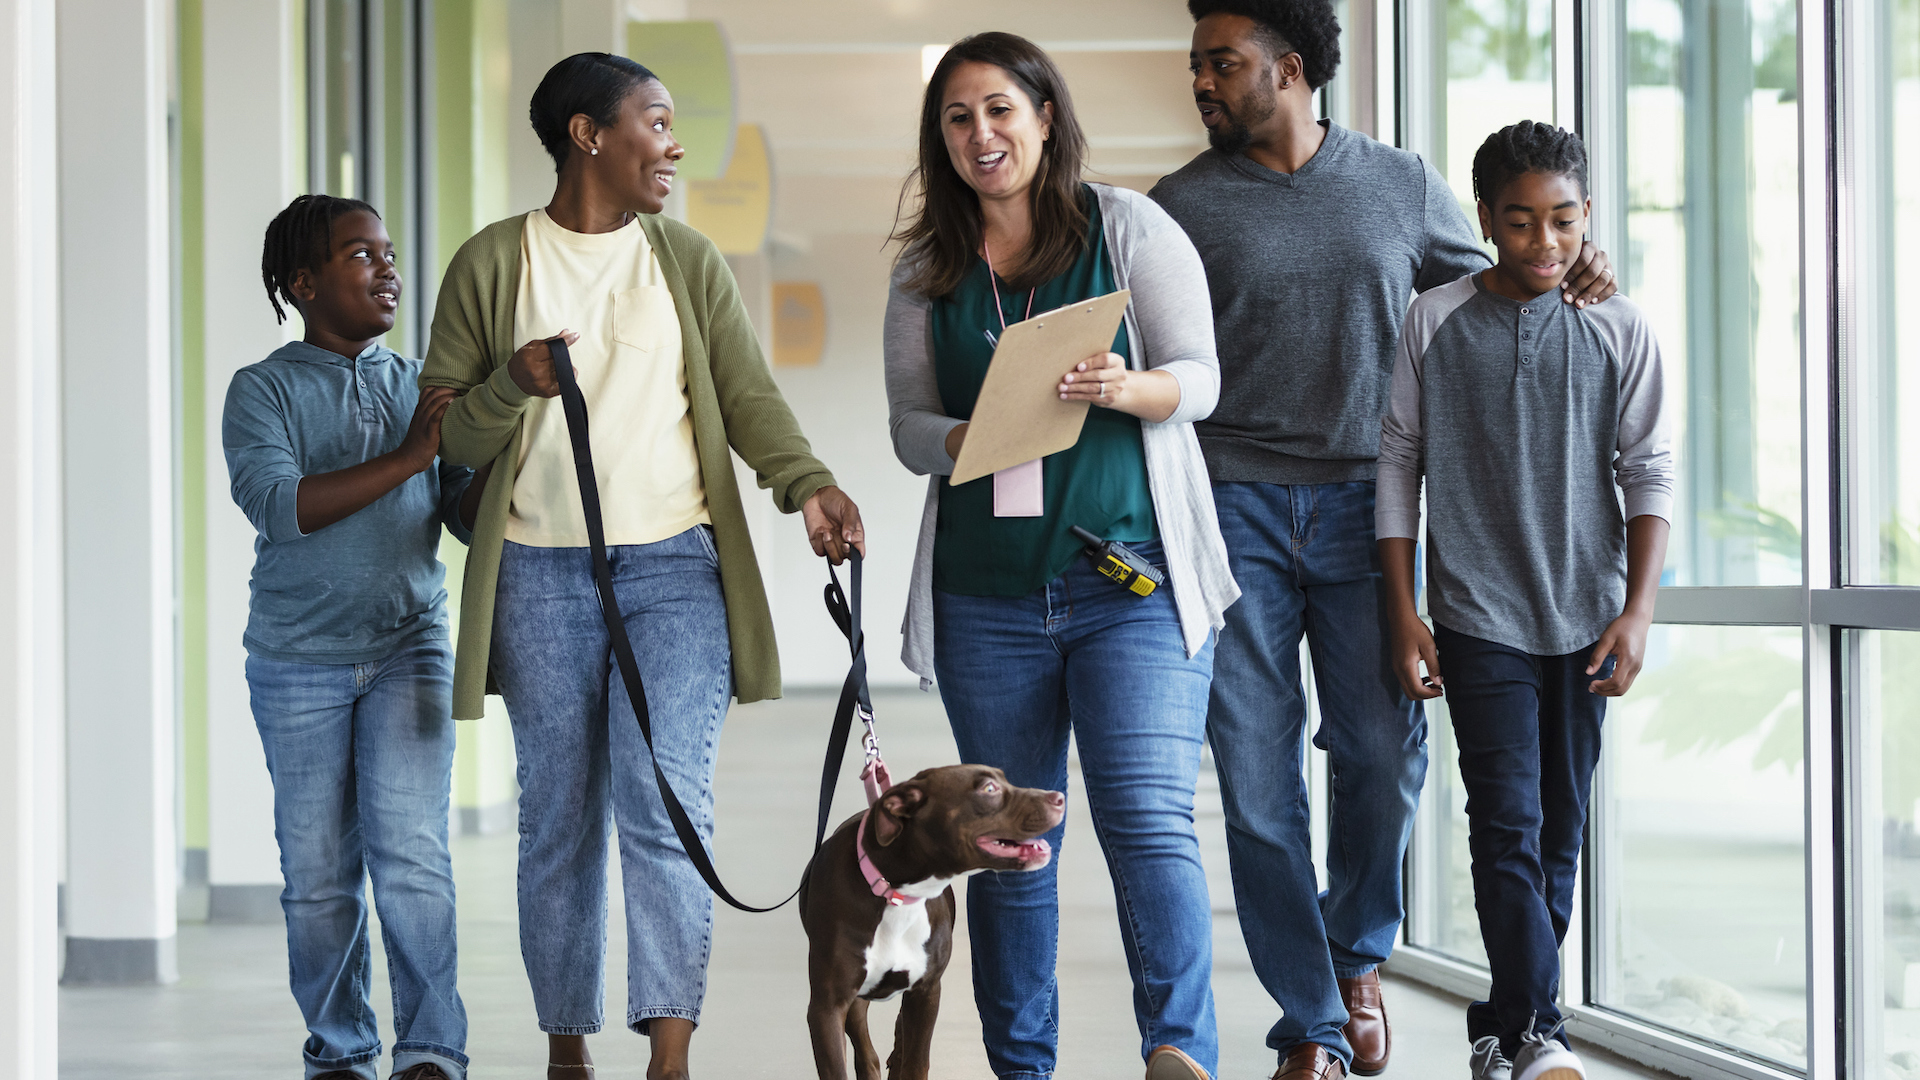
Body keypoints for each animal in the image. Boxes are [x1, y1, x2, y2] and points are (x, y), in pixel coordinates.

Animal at [794, 760, 1067, 1076]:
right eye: (989, 789)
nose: (1059, 798)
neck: (896, 894)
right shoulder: (828, 1007)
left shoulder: (926, 993)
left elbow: (916, 1062)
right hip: (855, 1003)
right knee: (865, 1049)